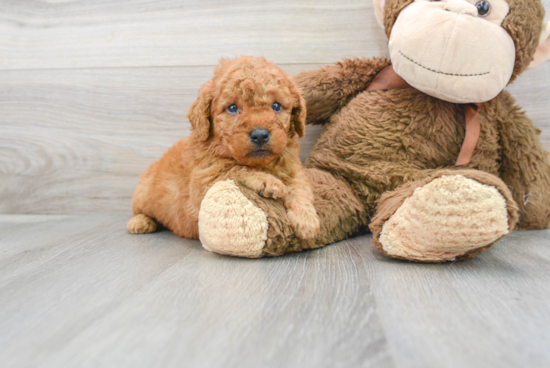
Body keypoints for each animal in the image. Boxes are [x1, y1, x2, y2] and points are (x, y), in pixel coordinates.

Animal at [128, 56, 322, 242]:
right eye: (232, 108)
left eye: (276, 106)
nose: (260, 135)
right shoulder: (202, 186)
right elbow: (235, 169)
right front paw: (268, 181)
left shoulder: (294, 171)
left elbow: (300, 188)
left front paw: (306, 220)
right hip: (143, 192)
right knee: (139, 210)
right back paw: (140, 222)